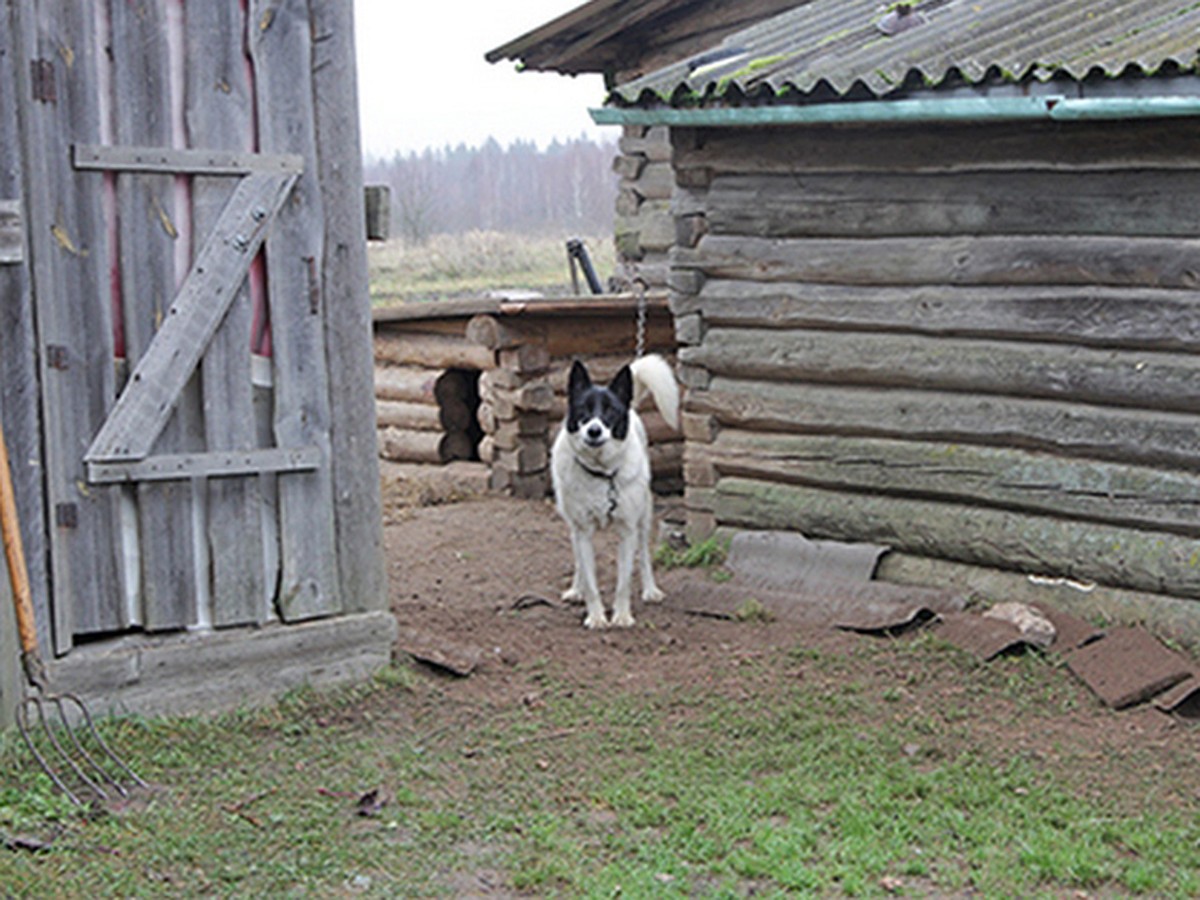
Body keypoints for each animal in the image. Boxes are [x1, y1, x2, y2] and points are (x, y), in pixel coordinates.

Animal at [549, 350, 681, 628]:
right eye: (584, 410)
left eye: (610, 410)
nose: (594, 430)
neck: (603, 474)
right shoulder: (583, 530)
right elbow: (591, 581)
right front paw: (597, 617)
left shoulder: (627, 531)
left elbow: (624, 581)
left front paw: (621, 616)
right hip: (572, 524)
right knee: (579, 560)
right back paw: (575, 589)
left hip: (644, 517)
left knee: (645, 557)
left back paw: (650, 590)